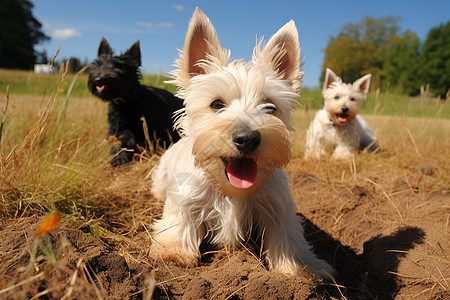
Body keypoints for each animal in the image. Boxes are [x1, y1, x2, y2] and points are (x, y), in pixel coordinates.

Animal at [88, 37, 183, 166]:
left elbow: (127, 141)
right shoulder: (117, 128)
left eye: (119, 67)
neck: (126, 102)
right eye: (98, 65)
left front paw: (120, 159)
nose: (99, 79)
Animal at [150, 7, 334, 280]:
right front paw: (172, 252)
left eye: (270, 106)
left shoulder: (278, 206)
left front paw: (302, 268)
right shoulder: (184, 197)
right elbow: (178, 221)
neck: (230, 191)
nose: (247, 138)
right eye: (216, 104)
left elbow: (288, 237)